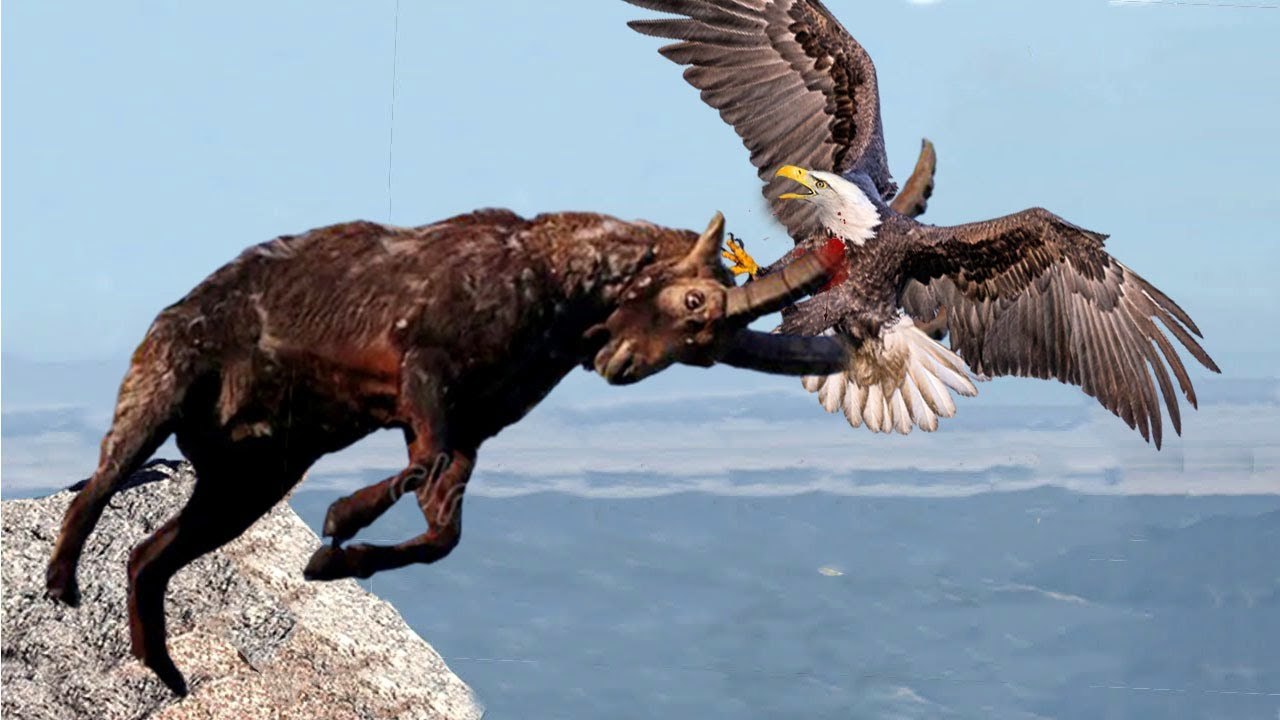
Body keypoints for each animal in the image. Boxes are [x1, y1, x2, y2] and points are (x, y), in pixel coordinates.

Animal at [45, 208, 849, 696]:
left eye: (706, 352)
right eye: (692, 303)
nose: (619, 365)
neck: (552, 283)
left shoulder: (465, 424)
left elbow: (444, 528)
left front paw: (332, 557)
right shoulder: (421, 369)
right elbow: (424, 469)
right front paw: (341, 519)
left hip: (252, 479)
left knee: (150, 554)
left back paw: (168, 673)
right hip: (165, 384)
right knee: (101, 483)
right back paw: (61, 585)